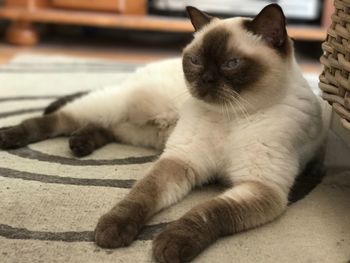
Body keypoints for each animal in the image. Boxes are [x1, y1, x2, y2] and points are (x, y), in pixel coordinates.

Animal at [0, 4, 326, 263]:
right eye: (195, 61)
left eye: (231, 64)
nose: (205, 79)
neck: (228, 118)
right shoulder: (180, 161)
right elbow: (141, 196)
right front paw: (111, 231)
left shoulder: (259, 187)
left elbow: (208, 212)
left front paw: (170, 245)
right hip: (117, 107)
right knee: (59, 118)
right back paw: (11, 137)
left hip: (142, 132)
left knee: (103, 127)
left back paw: (79, 144)